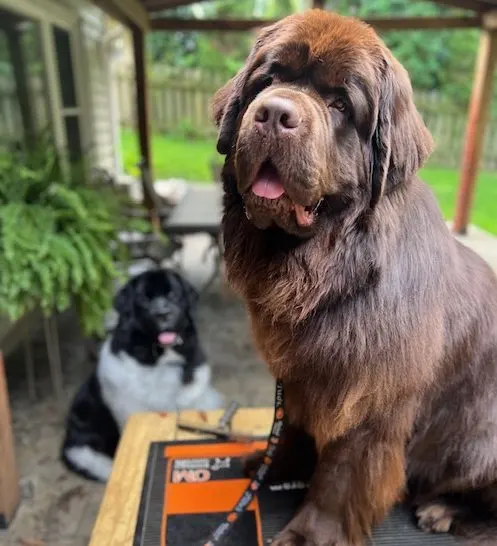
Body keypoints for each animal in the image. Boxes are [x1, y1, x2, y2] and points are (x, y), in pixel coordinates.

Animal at [211, 8, 496, 544]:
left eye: (341, 103)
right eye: (269, 79)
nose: (274, 113)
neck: (331, 270)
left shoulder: (366, 397)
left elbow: (341, 474)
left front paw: (308, 535)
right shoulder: (300, 373)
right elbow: (291, 428)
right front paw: (272, 464)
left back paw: (444, 510)